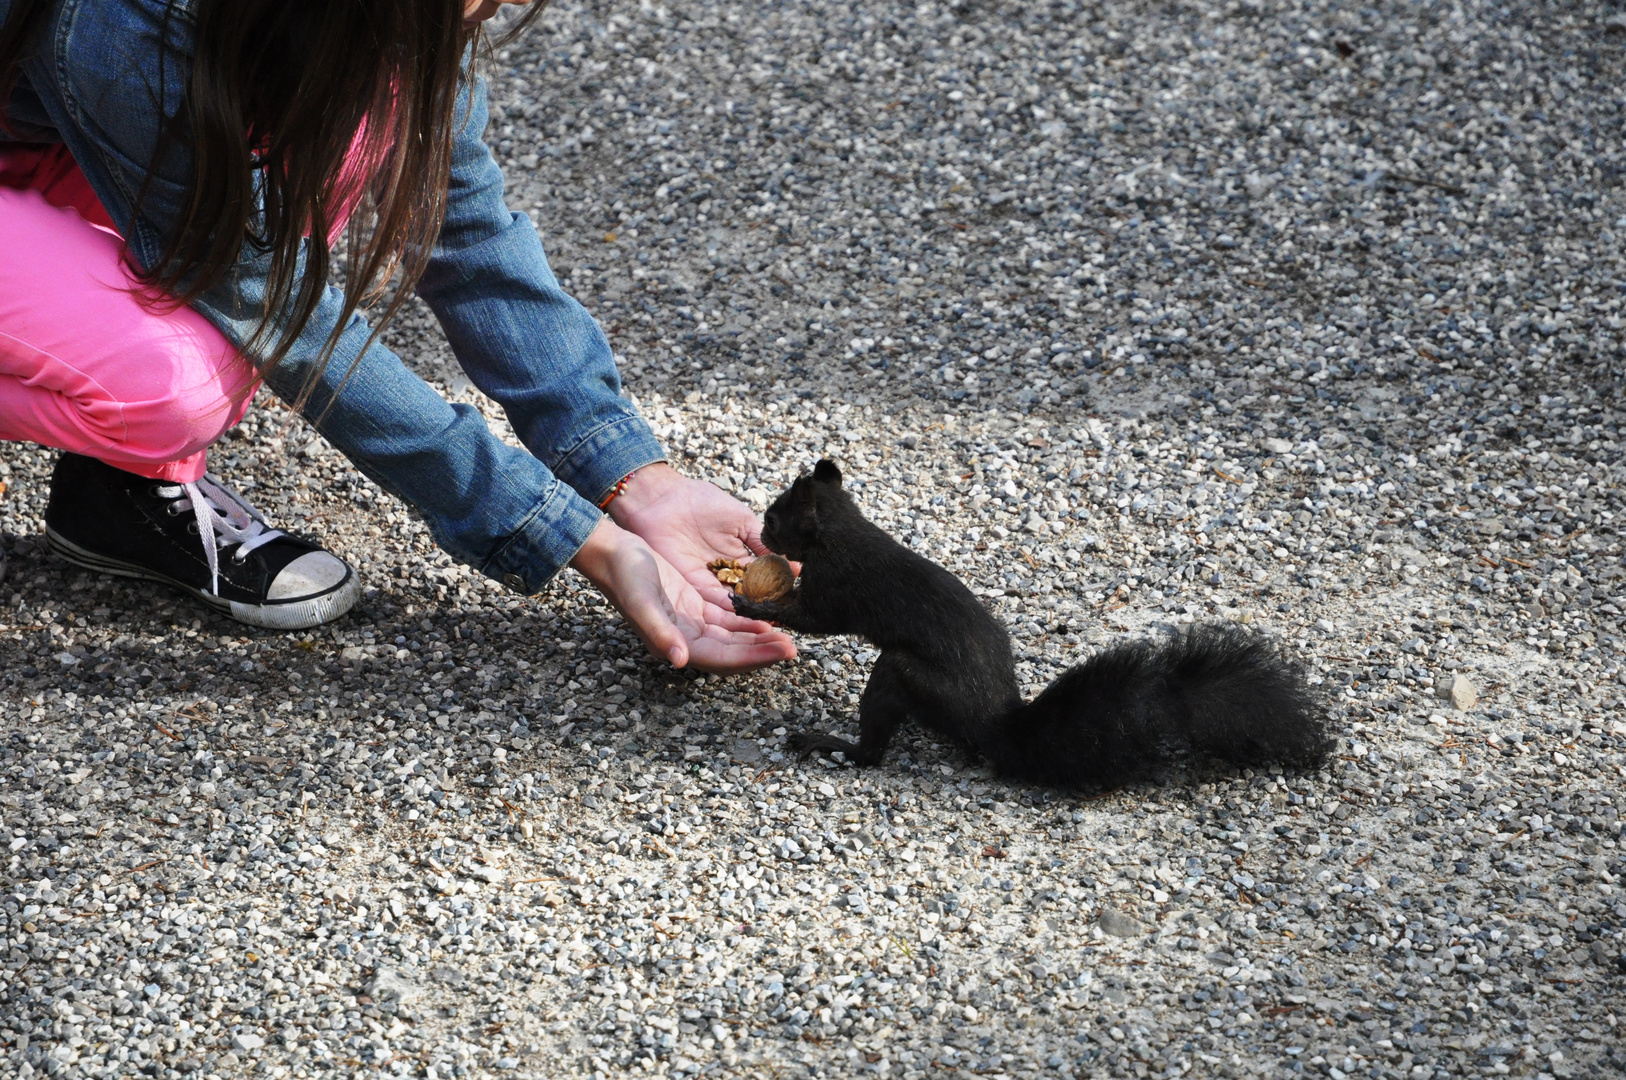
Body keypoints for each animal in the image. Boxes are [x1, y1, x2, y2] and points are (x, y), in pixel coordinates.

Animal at [731, 458, 1326, 790]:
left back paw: (830, 743)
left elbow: (813, 620)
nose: (758, 532)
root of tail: (991, 719)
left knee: (874, 750)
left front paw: (748, 604)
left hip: (905, 675)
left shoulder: (837, 587)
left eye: (775, 518)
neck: (843, 530)